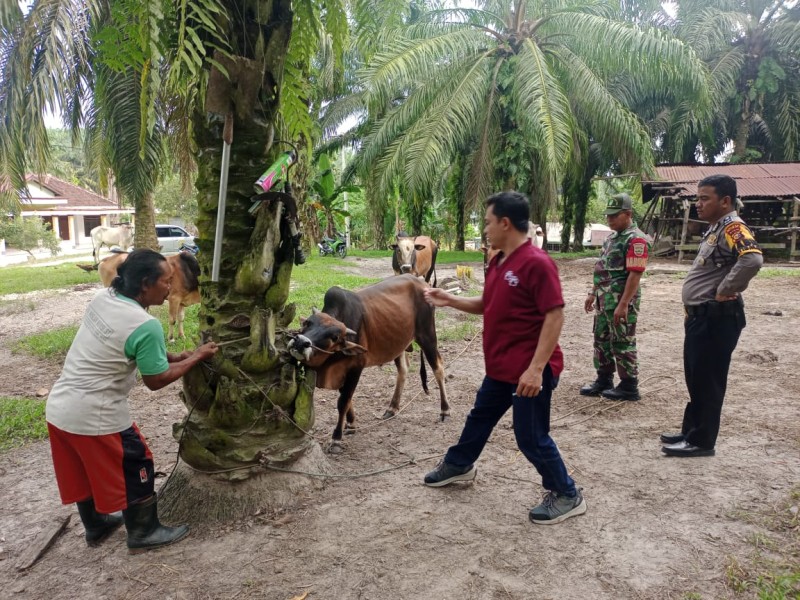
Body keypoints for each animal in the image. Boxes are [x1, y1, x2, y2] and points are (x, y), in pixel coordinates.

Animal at [288, 274, 450, 452]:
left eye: (335, 337)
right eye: (307, 323)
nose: (300, 342)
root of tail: (422, 282)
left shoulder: (356, 368)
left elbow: (343, 401)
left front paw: (336, 438)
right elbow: (346, 397)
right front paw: (351, 424)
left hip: (427, 336)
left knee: (438, 368)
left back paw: (445, 410)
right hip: (398, 342)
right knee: (403, 370)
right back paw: (392, 407)